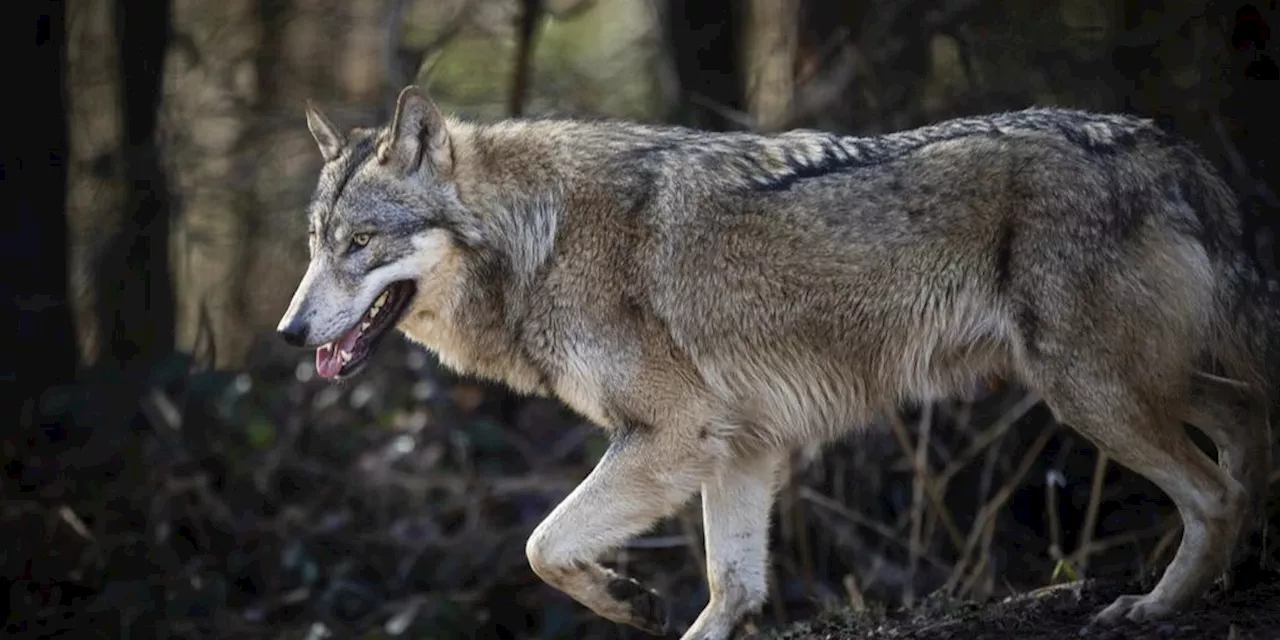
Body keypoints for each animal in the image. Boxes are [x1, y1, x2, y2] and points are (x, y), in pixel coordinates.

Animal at [275, 86, 1274, 640]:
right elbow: (734, 585)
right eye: (316, 244)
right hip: (1140, 383)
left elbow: (542, 545)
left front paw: (627, 598)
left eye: (361, 244)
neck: (539, 240)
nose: (288, 332)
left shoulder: (675, 436)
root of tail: (1169, 147)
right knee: (1245, 436)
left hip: (1091, 391)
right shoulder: (741, 447)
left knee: (1213, 490)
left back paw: (1155, 608)